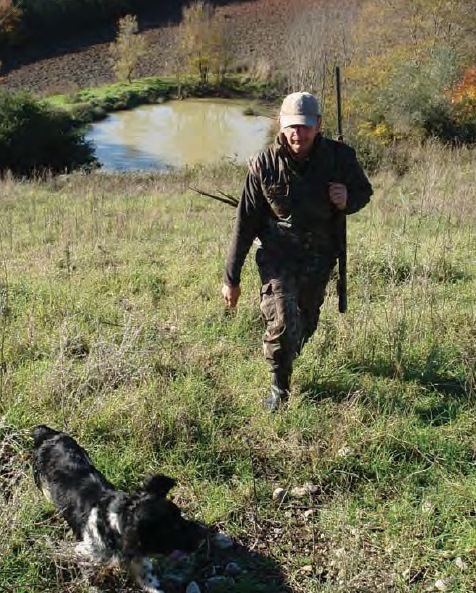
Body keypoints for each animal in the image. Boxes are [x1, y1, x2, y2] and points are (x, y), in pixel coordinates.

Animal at [33, 426, 205, 592]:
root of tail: (48, 433)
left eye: (180, 515)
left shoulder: (140, 563)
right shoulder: (85, 550)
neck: (114, 521)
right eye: (173, 528)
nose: (204, 535)